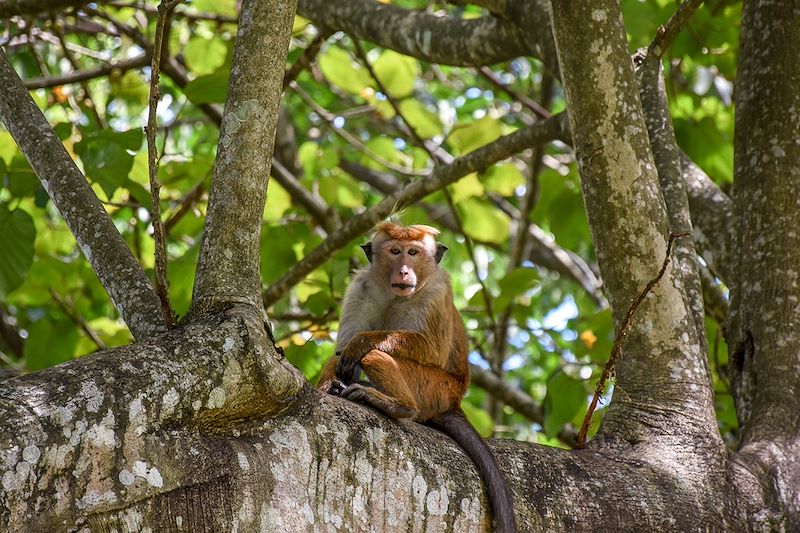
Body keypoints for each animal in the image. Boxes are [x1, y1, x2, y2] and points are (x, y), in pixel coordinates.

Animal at [316, 221, 516, 532]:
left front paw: (362, 342)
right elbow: (341, 351)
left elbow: (428, 348)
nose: (404, 271)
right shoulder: (359, 289)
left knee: (374, 356)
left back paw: (397, 404)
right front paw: (332, 383)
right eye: (395, 251)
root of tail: (453, 401)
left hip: (433, 388)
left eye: (413, 252)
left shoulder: (437, 292)